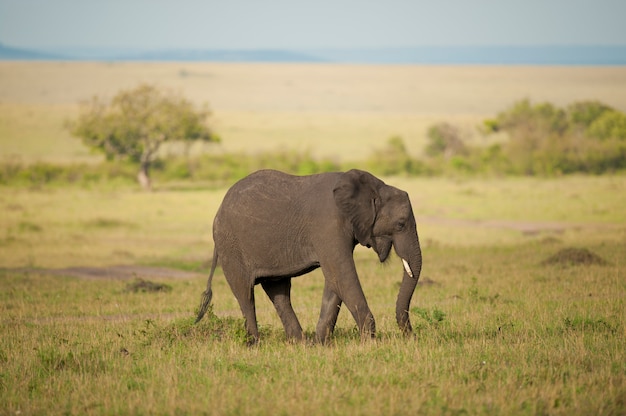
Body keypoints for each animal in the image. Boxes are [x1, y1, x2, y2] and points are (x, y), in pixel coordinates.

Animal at [194, 169, 420, 344]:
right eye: (401, 224)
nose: (411, 336)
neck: (375, 186)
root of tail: (219, 210)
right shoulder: (328, 225)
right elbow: (341, 275)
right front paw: (369, 342)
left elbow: (334, 280)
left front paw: (321, 343)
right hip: (231, 246)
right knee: (245, 294)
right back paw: (254, 344)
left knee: (279, 291)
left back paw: (300, 343)